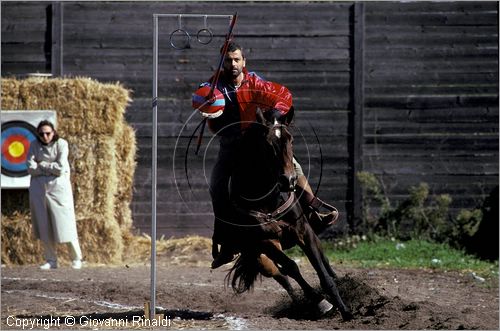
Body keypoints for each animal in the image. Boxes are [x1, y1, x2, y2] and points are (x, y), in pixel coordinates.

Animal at [223, 111, 352, 322]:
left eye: (291, 139)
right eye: (267, 143)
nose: (288, 180)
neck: (269, 200)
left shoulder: (304, 232)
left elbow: (322, 273)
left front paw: (345, 310)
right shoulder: (265, 242)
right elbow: (292, 268)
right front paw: (321, 302)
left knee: (323, 260)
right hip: (261, 258)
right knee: (283, 276)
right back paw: (305, 304)